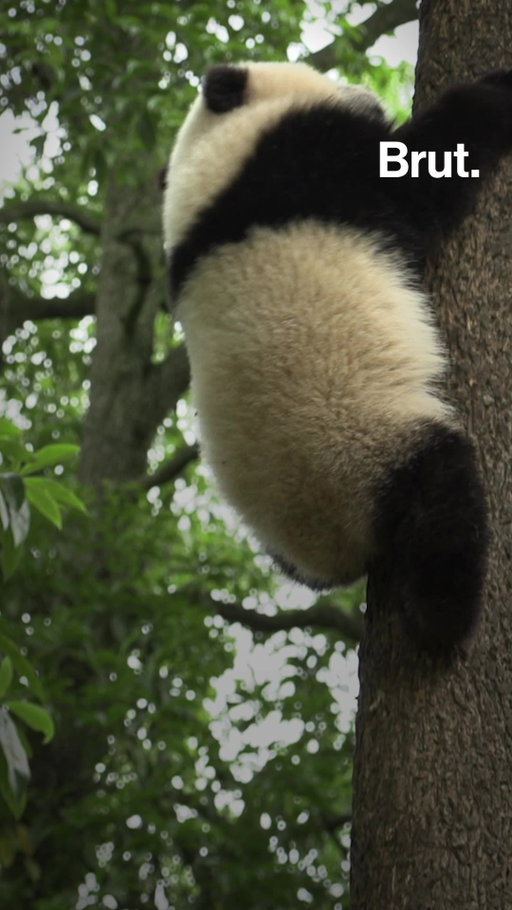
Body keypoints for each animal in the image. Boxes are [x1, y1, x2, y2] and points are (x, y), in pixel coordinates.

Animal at [162, 61, 512, 655]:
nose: (366, 96)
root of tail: (337, 548)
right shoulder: (302, 155)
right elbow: (423, 175)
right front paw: (496, 91)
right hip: (367, 445)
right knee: (443, 502)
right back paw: (444, 624)